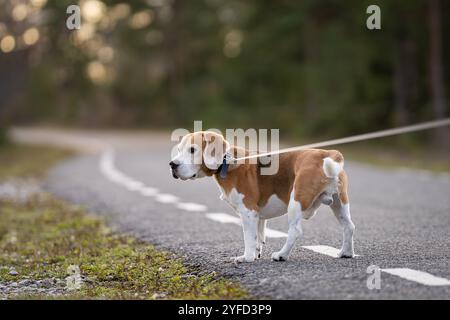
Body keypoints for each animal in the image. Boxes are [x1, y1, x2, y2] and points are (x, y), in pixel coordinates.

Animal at [170, 131, 356, 262]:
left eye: (192, 150)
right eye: (178, 150)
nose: (172, 164)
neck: (227, 162)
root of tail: (328, 154)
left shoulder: (248, 211)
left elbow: (248, 237)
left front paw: (246, 258)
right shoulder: (258, 215)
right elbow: (258, 236)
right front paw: (256, 254)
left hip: (296, 201)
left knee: (295, 231)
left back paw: (281, 255)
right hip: (340, 202)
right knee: (349, 226)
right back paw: (346, 253)